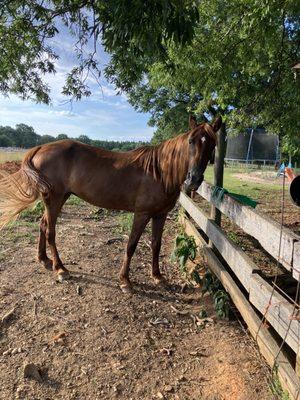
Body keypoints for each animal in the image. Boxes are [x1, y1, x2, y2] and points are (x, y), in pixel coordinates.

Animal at [0, 115, 220, 290]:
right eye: (190, 141)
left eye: (212, 144)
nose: (193, 179)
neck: (160, 172)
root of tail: (40, 148)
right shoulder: (142, 214)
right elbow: (131, 244)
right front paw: (125, 280)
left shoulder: (160, 214)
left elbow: (156, 244)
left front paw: (158, 277)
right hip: (54, 199)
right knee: (50, 231)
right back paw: (60, 269)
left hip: (57, 198)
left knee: (43, 224)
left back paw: (44, 259)